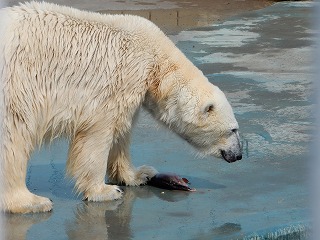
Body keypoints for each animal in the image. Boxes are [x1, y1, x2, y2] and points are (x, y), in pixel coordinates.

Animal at [0, 0, 240, 213]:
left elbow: (121, 131)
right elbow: (99, 132)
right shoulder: (120, 78)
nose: (238, 155)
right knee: (14, 138)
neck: (156, 62)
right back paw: (31, 202)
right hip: (16, 86)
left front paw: (139, 175)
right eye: (233, 129)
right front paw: (104, 191)